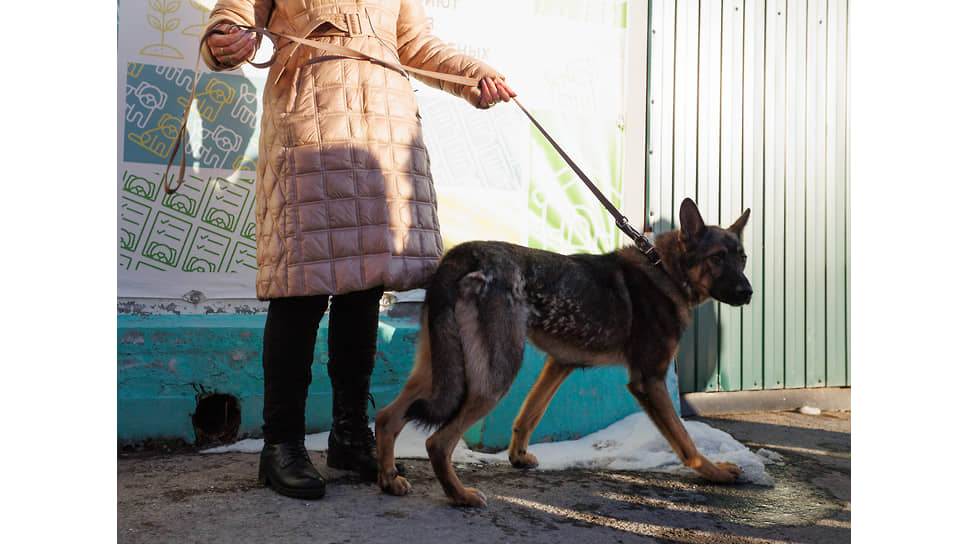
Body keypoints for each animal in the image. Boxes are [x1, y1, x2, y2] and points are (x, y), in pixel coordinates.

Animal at [374, 199, 752, 506]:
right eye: (717, 258)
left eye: (743, 258)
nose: (748, 292)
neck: (666, 269)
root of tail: (461, 255)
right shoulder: (650, 381)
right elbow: (685, 440)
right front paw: (715, 472)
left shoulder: (560, 364)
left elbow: (529, 414)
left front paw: (518, 456)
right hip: (496, 376)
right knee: (438, 442)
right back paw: (460, 495)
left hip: (437, 371)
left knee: (387, 417)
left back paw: (389, 479)